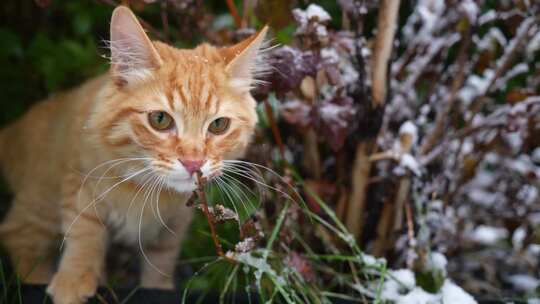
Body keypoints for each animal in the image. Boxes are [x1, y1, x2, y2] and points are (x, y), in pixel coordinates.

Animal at [0, 6, 268, 304]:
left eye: (219, 125)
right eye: (160, 119)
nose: (193, 162)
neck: (146, 189)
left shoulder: (172, 229)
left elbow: (160, 265)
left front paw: (159, 288)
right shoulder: (80, 180)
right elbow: (85, 229)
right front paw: (74, 280)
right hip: (40, 204)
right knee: (17, 234)